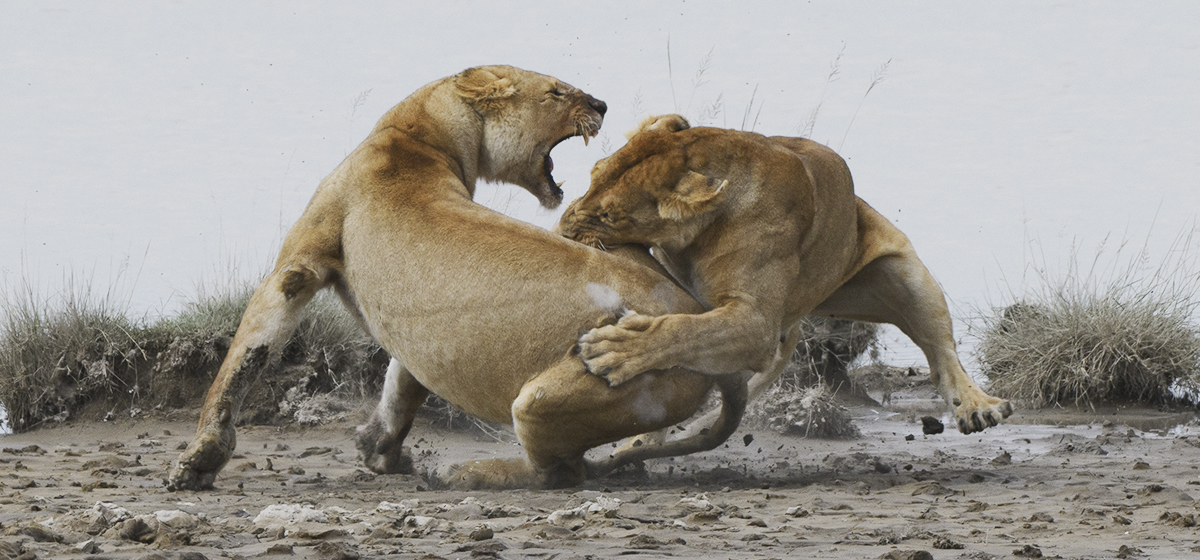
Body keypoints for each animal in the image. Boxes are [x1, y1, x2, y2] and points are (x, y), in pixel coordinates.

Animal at [168, 67, 777, 491]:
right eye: (556, 92)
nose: (603, 103)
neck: (417, 136)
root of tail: (696, 319)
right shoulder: (417, 335)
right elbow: (402, 384)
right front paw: (379, 450)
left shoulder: (297, 268)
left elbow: (242, 361)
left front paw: (198, 463)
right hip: (619, 245)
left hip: (543, 398)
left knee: (561, 474)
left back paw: (469, 474)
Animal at [558, 115, 1013, 437]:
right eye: (592, 174)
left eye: (608, 216)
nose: (561, 230)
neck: (696, 238)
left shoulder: (757, 321)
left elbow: (683, 330)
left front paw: (615, 349)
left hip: (908, 278)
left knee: (942, 355)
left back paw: (978, 407)